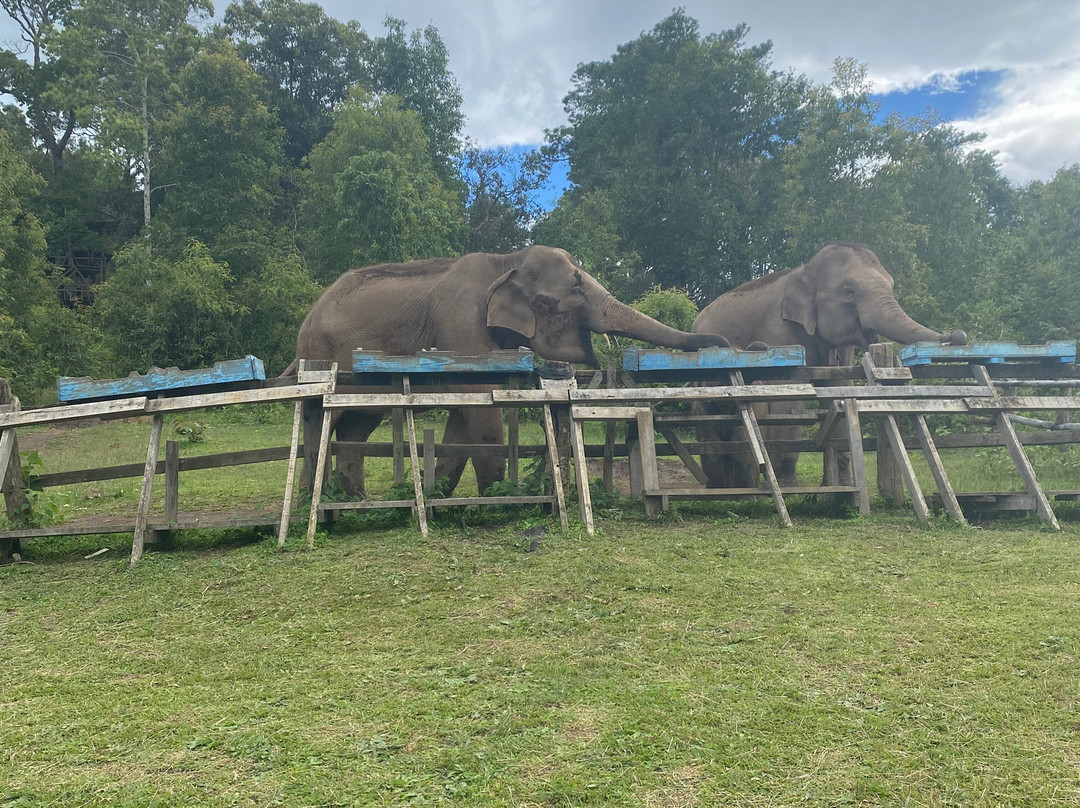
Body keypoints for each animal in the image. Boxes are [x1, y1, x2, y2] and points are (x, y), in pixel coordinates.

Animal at [291, 245, 731, 498]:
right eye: (575, 289)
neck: (506, 261)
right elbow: (481, 404)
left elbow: (464, 412)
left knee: (357, 426)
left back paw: (355, 500)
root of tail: (307, 319)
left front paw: (443, 496)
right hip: (325, 356)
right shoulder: (460, 325)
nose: (721, 343)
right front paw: (498, 497)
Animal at [691, 243, 966, 488]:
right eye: (847, 291)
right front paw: (791, 488)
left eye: (892, 285)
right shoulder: (779, 330)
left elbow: (840, 388)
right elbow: (788, 397)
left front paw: (842, 484)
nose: (958, 335)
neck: (804, 271)